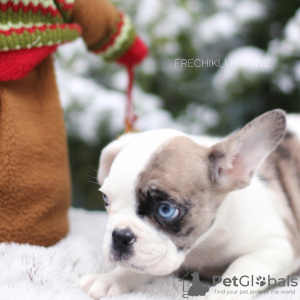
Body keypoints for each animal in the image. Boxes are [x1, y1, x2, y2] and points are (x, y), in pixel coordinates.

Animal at [77, 109, 300, 298]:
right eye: (106, 199)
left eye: (166, 210)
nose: (120, 236)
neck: (205, 242)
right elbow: (138, 268)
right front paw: (110, 279)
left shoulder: (276, 246)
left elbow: (242, 266)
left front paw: (219, 295)